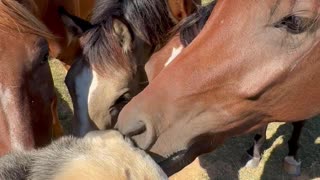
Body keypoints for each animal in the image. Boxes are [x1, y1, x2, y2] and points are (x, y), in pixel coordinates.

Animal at [115, 0, 320, 175]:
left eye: (295, 21)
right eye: (149, 69)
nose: (130, 132)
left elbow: (299, 121)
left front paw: (292, 157)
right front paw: (254, 153)